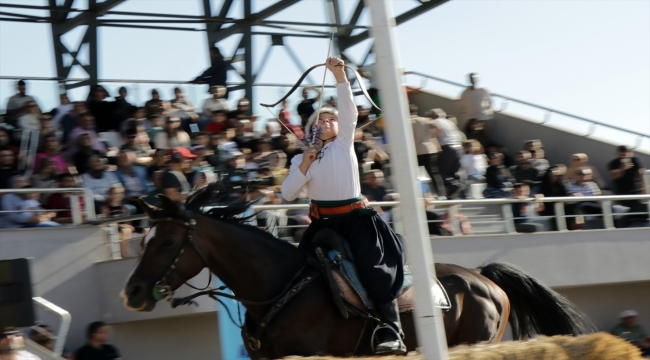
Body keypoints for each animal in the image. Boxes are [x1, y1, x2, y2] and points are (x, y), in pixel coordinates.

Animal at [121, 184, 592, 358]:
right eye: (144, 239)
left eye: (167, 242)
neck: (278, 289)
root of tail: (484, 278)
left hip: (476, 341)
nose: (133, 292)